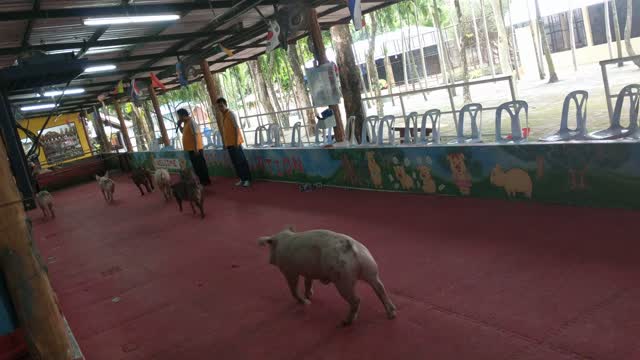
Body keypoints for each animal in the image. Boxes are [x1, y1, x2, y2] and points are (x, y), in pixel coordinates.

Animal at [258, 228, 398, 326]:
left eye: (270, 247)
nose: (269, 261)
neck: (283, 241)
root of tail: (351, 248)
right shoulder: (308, 271)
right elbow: (308, 282)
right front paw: (309, 296)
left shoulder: (290, 272)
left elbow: (293, 289)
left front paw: (305, 302)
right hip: (370, 269)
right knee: (380, 288)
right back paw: (392, 314)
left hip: (343, 281)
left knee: (356, 300)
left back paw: (345, 322)